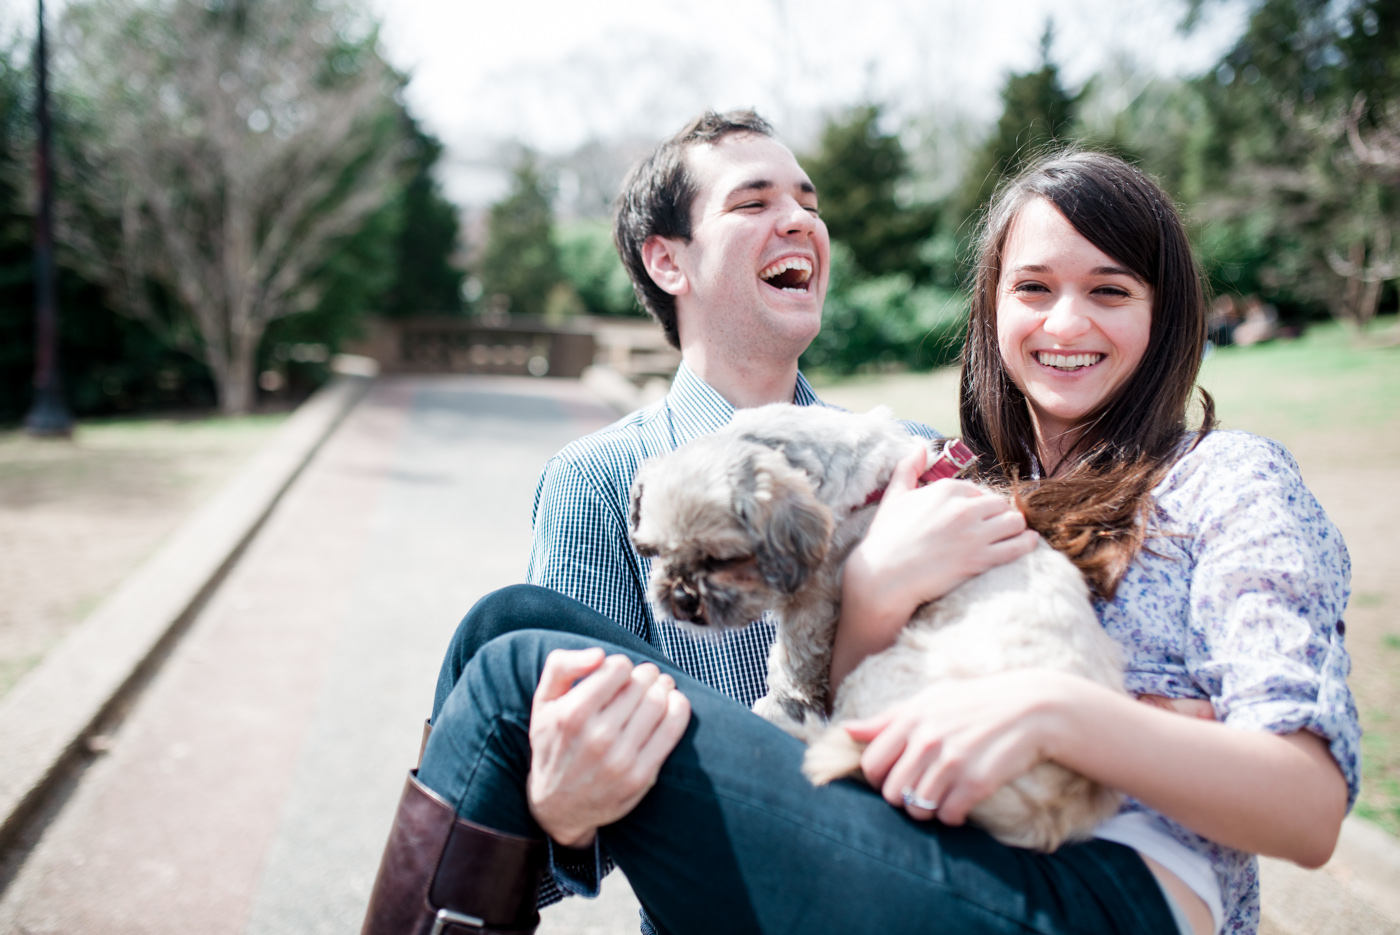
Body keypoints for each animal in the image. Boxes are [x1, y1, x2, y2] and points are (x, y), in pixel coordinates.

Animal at [632, 403, 1125, 856]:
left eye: (722, 559)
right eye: (654, 552)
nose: (682, 598)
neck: (865, 494)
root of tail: (1052, 808)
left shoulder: (815, 603)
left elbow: (791, 662)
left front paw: (779, 702)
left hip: (877, 679)